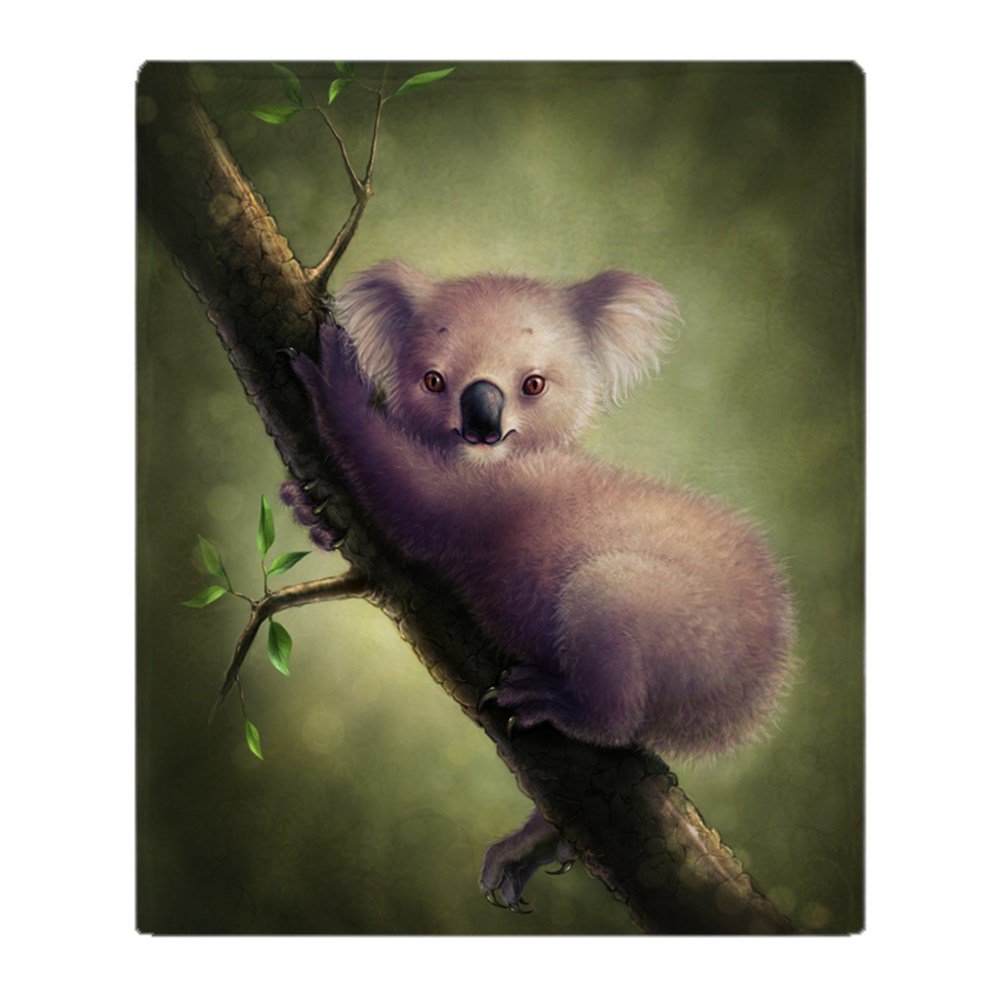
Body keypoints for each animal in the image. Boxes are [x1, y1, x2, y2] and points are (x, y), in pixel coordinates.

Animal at [288, 260, 794, 910]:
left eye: (533, 385)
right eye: (433, 380)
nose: (482, 422)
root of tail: (760, 684)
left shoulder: (500, 496)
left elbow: (407, 491)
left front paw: (336, 376)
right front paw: (306, 506)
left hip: (663, 621)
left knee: (614, 704)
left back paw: (554, 703)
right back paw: (536, 841)